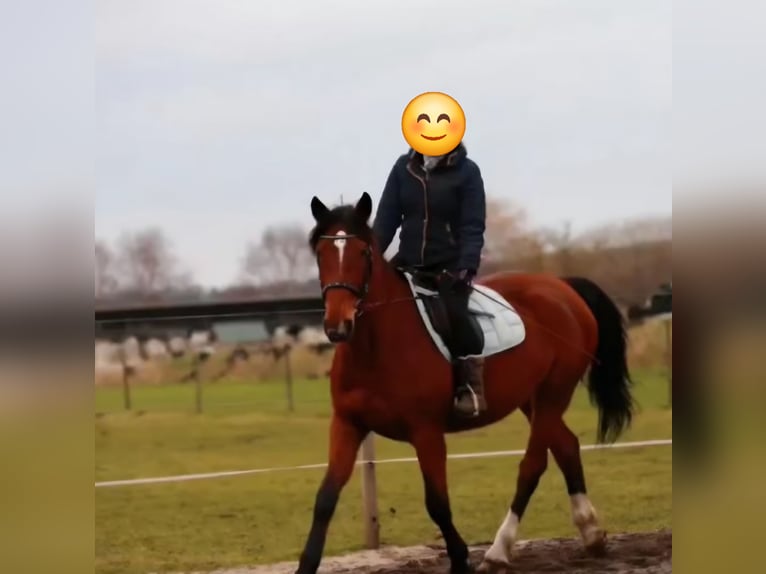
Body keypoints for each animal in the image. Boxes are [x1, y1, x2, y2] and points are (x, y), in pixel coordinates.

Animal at [295, 192, 634, 574]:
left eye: (363, 253)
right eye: (321, 254)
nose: (338, 325)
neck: (375, 347)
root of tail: (561, 286)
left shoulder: (426, 432)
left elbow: (437, 503)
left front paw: (460, 559)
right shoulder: (347, 424)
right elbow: (325, 498)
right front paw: (306, 565)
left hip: (554, 392)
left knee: (533, 465)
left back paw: (499, 550)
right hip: (531, 400)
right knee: (566, 446)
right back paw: (591, 534)